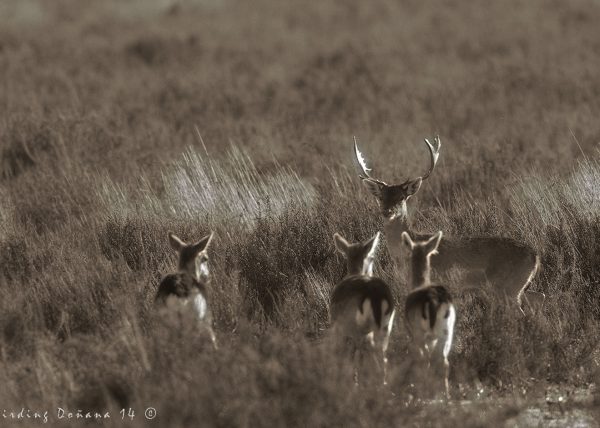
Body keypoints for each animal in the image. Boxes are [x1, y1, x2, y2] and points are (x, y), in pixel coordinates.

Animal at [330, 232, 396, 386]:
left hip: (358, 328)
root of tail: (374, 294)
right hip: (385, 327)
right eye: (371, 257)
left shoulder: (340, 328)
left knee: (364, 352)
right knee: (381, 355)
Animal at [354, 138, 548, 314]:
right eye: (380, 197)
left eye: (402, 197)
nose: (387, 211)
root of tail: (536, 256)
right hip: (517, 287)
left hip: (507, 288)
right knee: (540, 296)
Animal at [404, 231, 454, 398]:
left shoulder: (413, 333)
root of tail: (433, 301)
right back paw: (446, 394)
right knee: (443, 360)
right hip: (447, 330)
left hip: (420, 330)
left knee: (426, 359)